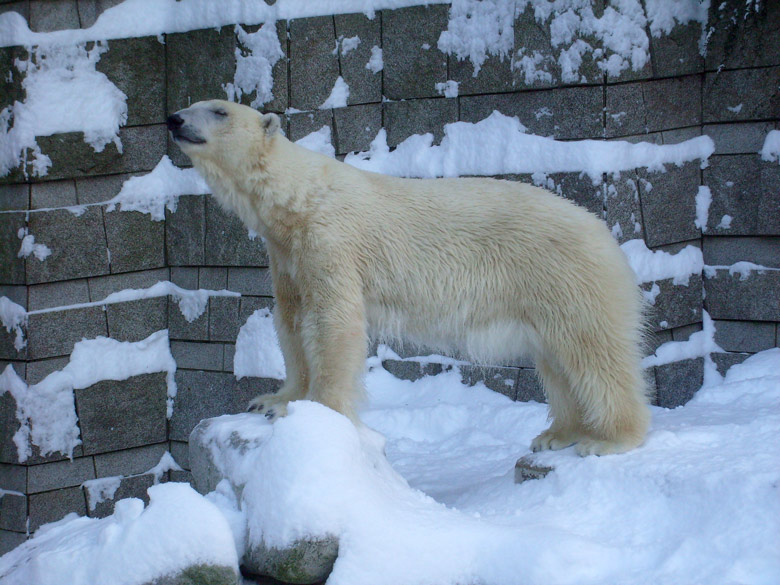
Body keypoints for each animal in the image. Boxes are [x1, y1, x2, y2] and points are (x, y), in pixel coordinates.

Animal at [169, 100, 652, 456]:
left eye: (219, 110)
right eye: (194, 104)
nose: (174, 118)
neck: (299, 198)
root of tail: (606, 235)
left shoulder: (330, 239)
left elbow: (332, 323)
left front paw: (321, 413)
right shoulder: (286, 254)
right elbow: (291, 319)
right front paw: (274, 400)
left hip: (567, 274)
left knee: (593, 352)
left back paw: (609, 440)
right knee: (558, 361)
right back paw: (557, 434)